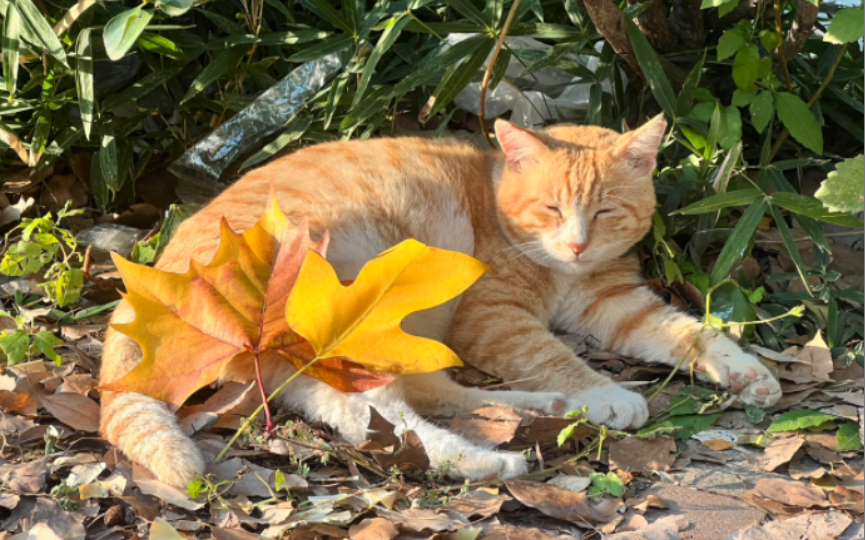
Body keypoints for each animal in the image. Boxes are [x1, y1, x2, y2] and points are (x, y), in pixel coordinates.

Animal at [98, 116, 780, 488]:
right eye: (551, 208)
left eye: (606, 211)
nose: (578, 243)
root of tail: (148, 290)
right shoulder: (494, 318)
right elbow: (554, 354)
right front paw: (606, 392)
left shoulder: (615, 304)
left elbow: (687, 331)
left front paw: (747, 371)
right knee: (378, 412)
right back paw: (486, 461)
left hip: (319, 358)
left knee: (401, 399)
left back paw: (537, 412)